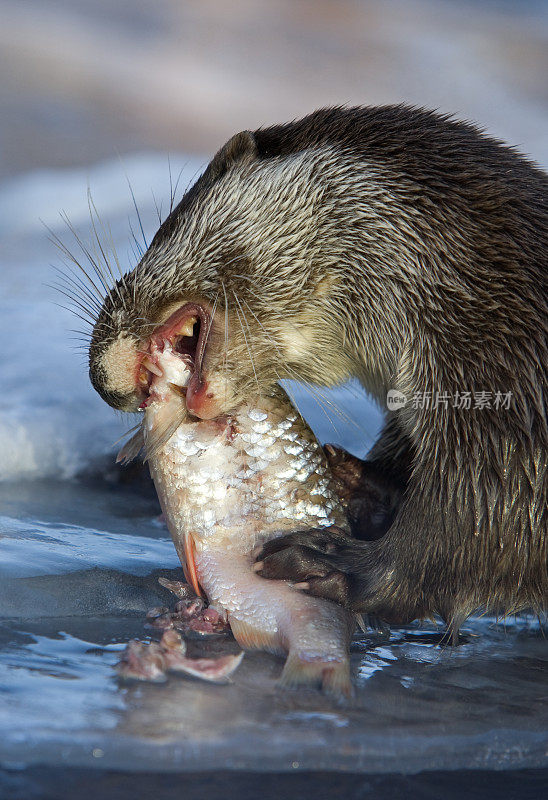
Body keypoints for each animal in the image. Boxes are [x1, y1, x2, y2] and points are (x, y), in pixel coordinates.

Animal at [88, 104, 544, 636]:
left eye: (164, 228)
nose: (103, 382)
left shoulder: (508, 412)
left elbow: (483, 527)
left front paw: (338, 566)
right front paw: (357, 483)